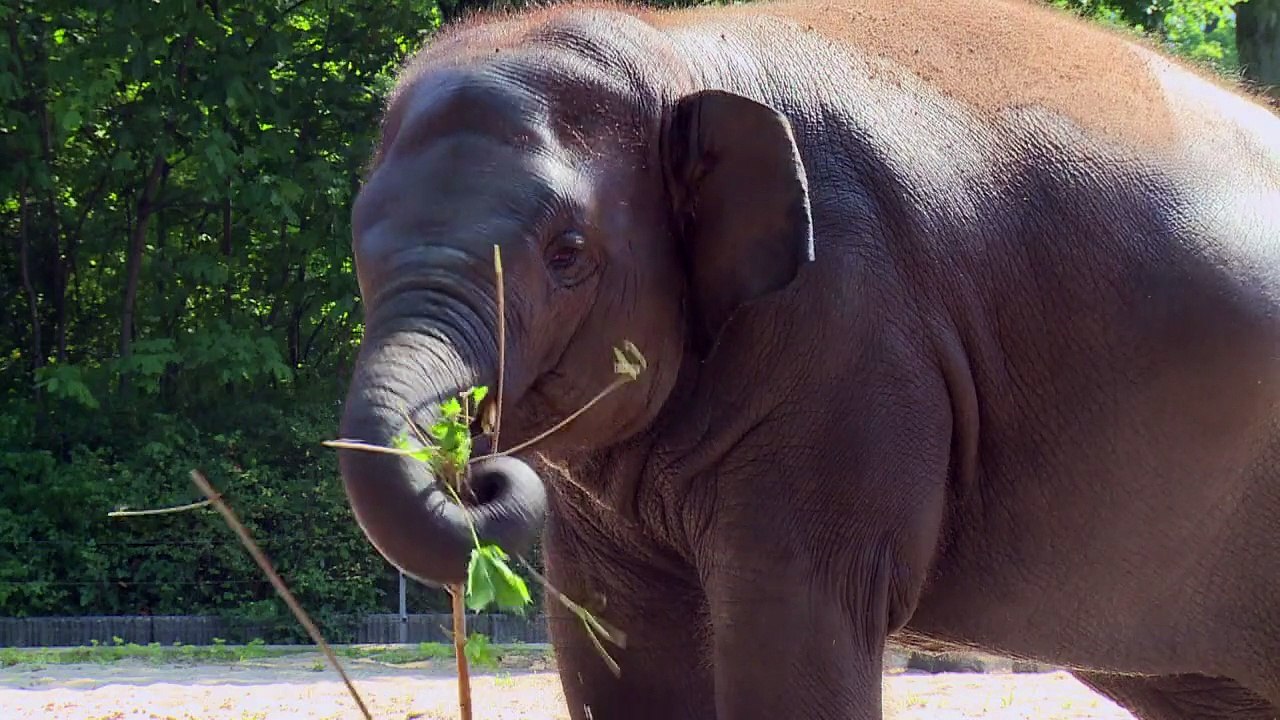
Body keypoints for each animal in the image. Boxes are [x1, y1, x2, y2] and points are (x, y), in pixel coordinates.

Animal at [333, 0, 1280, 718]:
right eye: (357, 246)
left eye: (567, 253)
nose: (474, 466)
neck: (673, 47)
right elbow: (619, 641)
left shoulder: (853, 344)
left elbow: (793, 627)